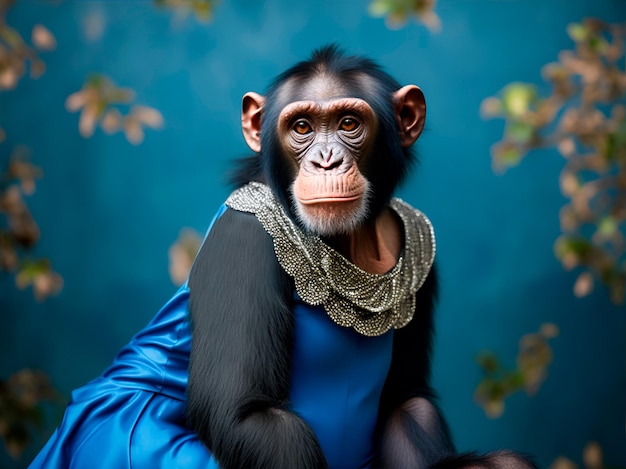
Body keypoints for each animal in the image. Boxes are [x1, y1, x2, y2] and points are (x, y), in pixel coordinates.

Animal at [29, 44, 532, 468]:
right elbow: (251, 416)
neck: (353, 241)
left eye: (349, 124)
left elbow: (405, 399)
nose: (326, 160)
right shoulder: (243, 240)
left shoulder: (422, 251)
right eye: (303, 128)